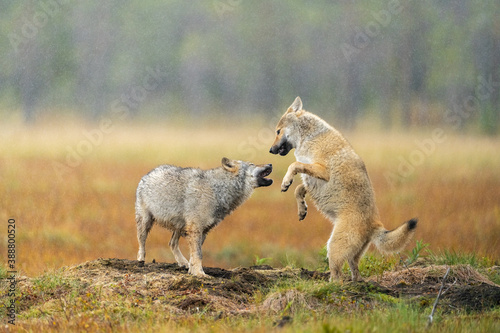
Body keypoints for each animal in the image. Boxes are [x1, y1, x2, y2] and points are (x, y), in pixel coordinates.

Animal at [135, 157, 272, 276]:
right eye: (252, 164)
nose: (270, 164)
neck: (218, 189)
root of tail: (148, 174)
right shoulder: (195, 229)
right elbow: (198, 255)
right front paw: (200, 274)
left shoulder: (204, 231)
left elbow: (194, 255)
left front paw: (192, 271)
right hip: (145, 222)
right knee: (142, 240)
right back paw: (141, 259)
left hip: (179, 227)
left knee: (172, 243)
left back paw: (183, 263)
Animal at [270, 96, 418, 280]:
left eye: (277, 132)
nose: (270, 150)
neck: (310, 136)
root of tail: (375, 225)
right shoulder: (312, 180)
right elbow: (298, 189)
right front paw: (302, 210)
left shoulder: (321, 171)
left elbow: (294, 166)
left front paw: (285, 182)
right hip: (350, 255)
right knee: (355, 273)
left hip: (332, 248)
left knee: (337, 277)